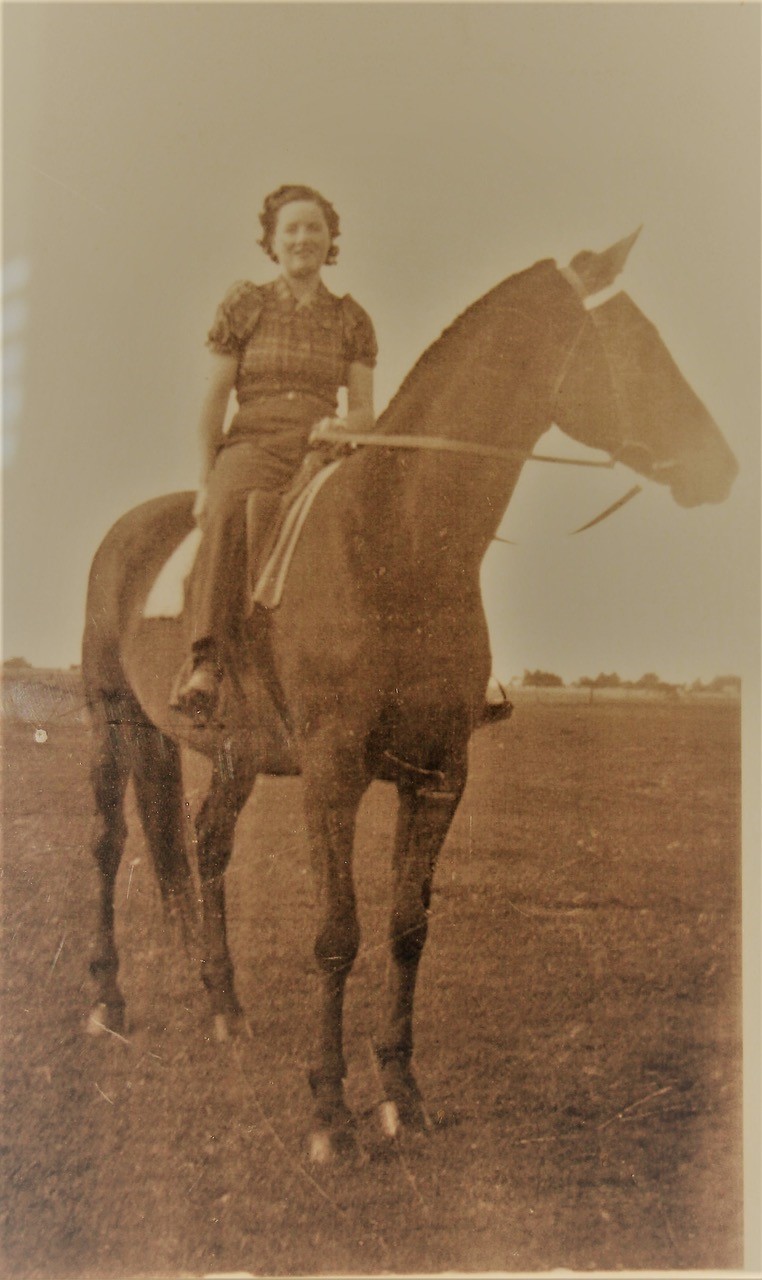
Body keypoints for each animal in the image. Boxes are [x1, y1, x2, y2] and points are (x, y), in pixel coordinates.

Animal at [81, 235, 737, 1167]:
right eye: (636, 346)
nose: (722, 466)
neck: (398, 536)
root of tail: (128, 527)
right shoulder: (331, 777)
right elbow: (337, 934)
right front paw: (329, 1113)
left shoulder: (438, 777)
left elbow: (405, 929)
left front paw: (403, 1096)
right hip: (111, 721)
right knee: (107, 845)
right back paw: (107, 1002)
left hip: (235, 757)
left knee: (206, 848)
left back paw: (225, 1007)